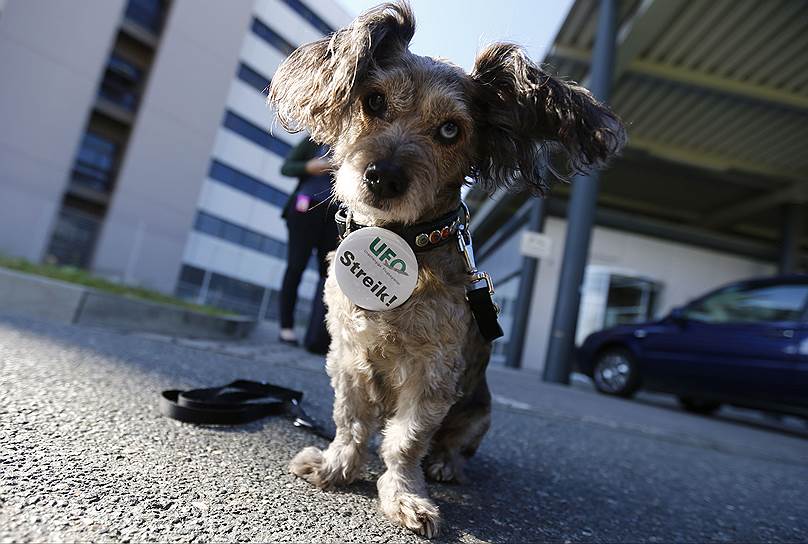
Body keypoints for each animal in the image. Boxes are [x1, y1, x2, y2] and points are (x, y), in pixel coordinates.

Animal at [270, 1, 624, 536]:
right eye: (373, 101)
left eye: (451, 130)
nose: (383, 177)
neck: (403, 241)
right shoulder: (347, 355)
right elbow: (351, 420)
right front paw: (337, 467)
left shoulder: (433, 372)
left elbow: (405, 441)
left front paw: (405, 496)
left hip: (480, 414)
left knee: (455, 445)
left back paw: (444, 465)